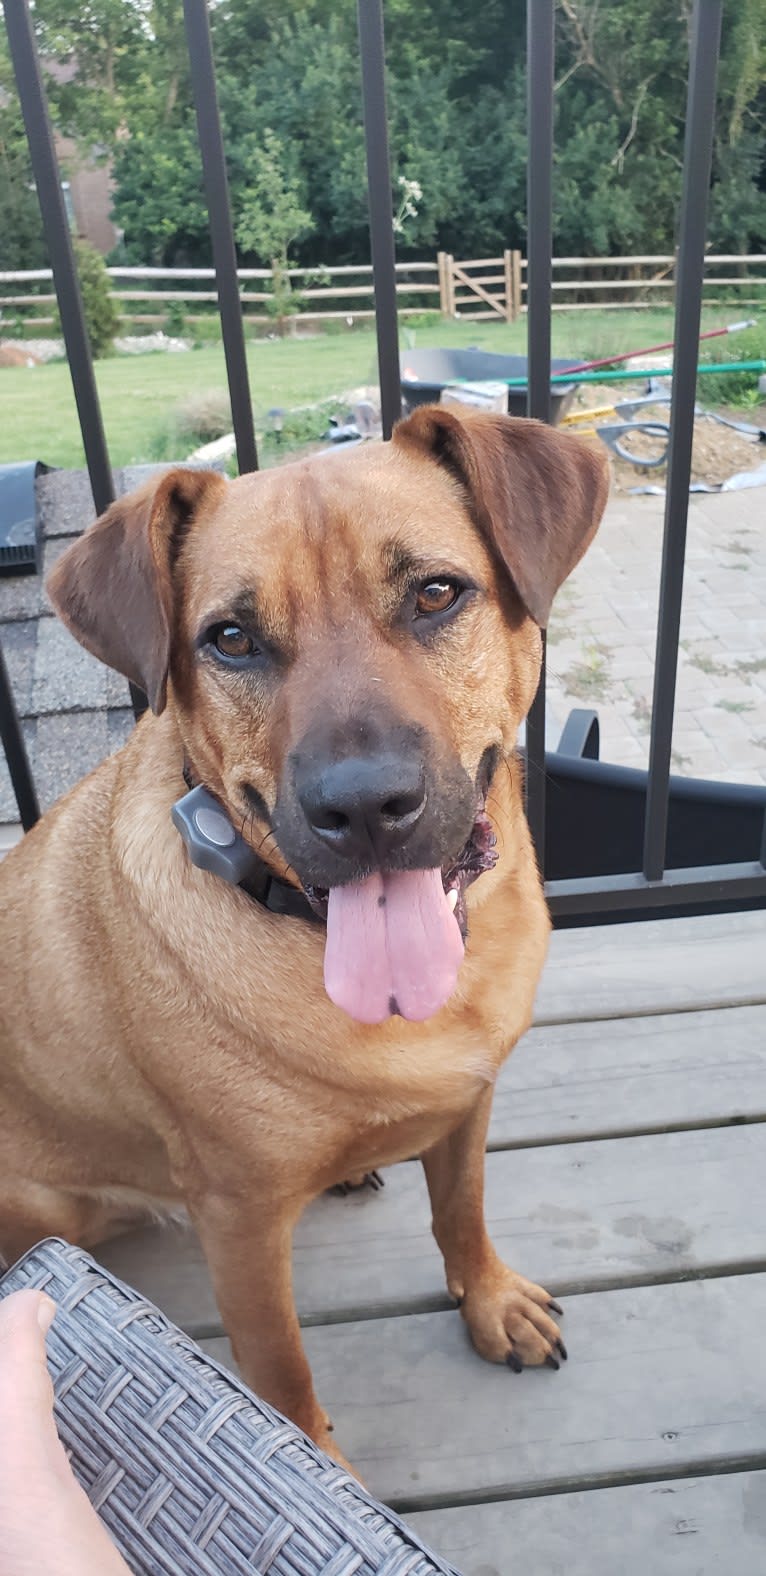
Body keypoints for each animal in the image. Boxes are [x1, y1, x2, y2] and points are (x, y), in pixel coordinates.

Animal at [0, 409, 611, 1462]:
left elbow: (462, 1210)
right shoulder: (239, 1221)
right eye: (231, 638)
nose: (363, 807)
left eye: (436, 592)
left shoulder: (470, 1101)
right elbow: (280, 1371)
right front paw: (312, 1456)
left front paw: (488, 1302)